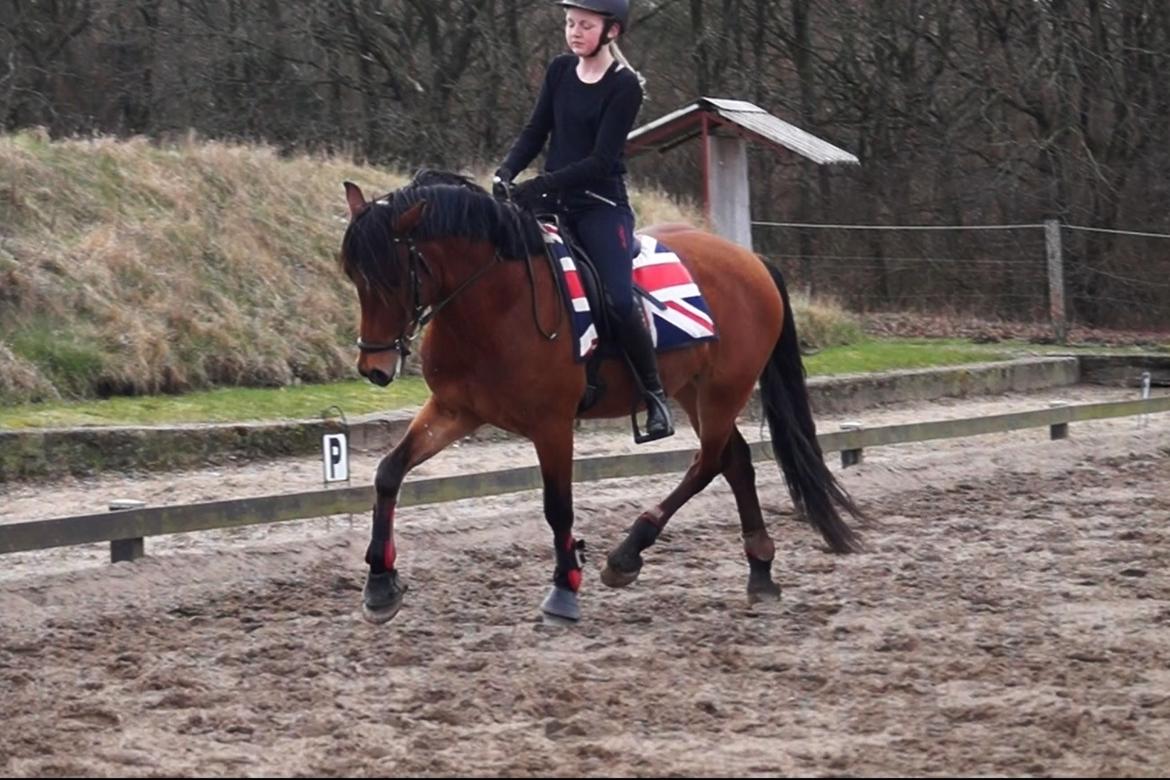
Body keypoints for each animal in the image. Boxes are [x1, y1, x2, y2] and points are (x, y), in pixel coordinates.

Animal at [334, 171, 865, 626]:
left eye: (393, 276)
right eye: (354, 277)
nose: (374, 368)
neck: (493, 302)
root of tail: (750, 259)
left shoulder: (551, 424)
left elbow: (558, 507)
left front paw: (564, 590)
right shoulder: (454, 410)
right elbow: (388, 472)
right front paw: (380, 585)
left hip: (723, 389)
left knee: (710, 460)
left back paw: (629, 552)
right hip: (693, 389)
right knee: (733, 460)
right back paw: (760, 573)